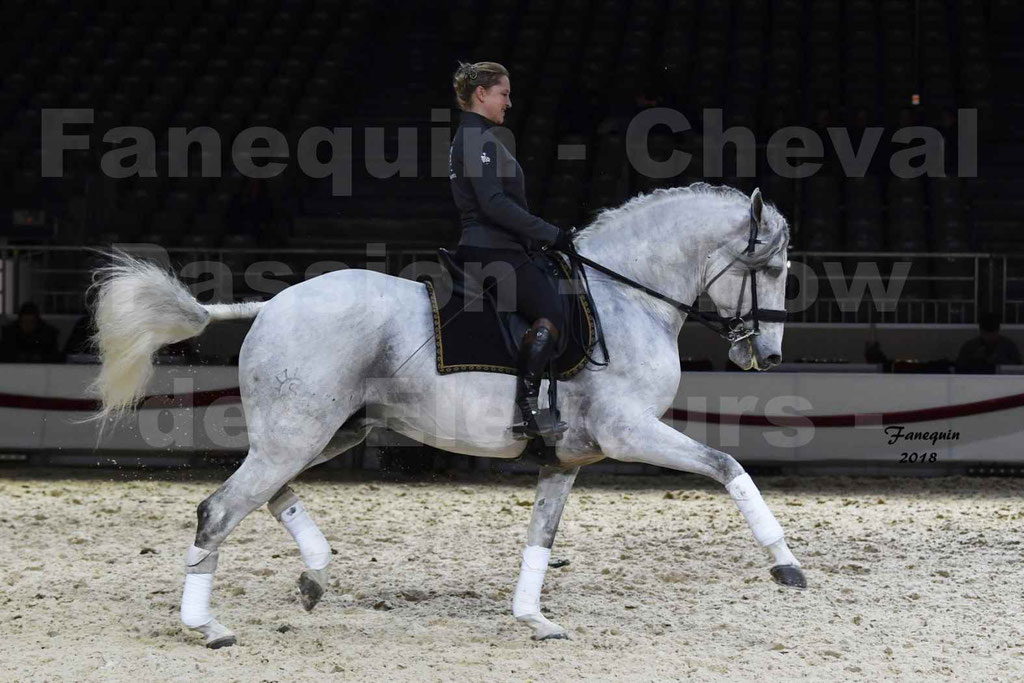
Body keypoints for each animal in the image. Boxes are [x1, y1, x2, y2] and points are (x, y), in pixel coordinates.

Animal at [92, 180, 802, 647]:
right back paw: (206, 625)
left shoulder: (569, 455)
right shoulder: (628, 432)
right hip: (298, 435)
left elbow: (541, 537)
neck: (625, 298)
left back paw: (314, 576)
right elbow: (728, 464)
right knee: (220, 509)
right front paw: (785, 563)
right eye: (768, 266)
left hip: (327, 433)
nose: (766, 354)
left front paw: (533, 618)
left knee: (267, 495)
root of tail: (269, 304)